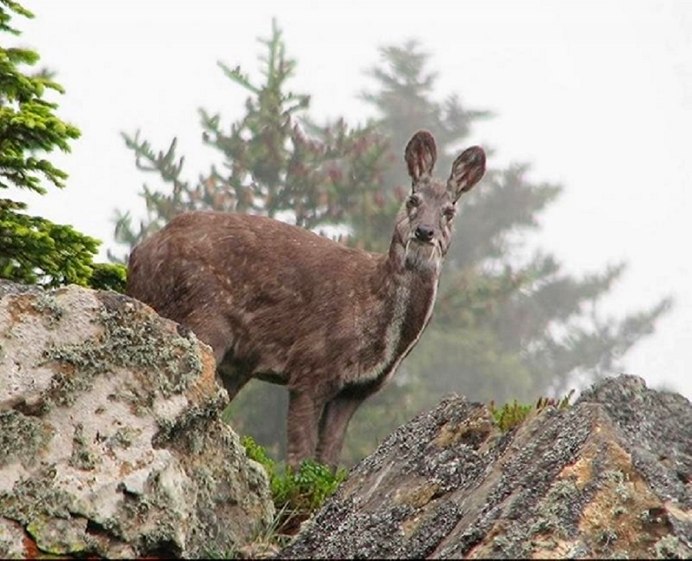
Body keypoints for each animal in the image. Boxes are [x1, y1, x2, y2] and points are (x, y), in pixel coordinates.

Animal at [128, 129, 486, 466]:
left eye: (449, 210)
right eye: (413, 199)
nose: (424, 232)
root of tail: (138, 256)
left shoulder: (355, 390)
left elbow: (328, 458)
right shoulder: (311, 365)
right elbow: (299, 458)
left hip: (235, 362)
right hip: (202, 315)